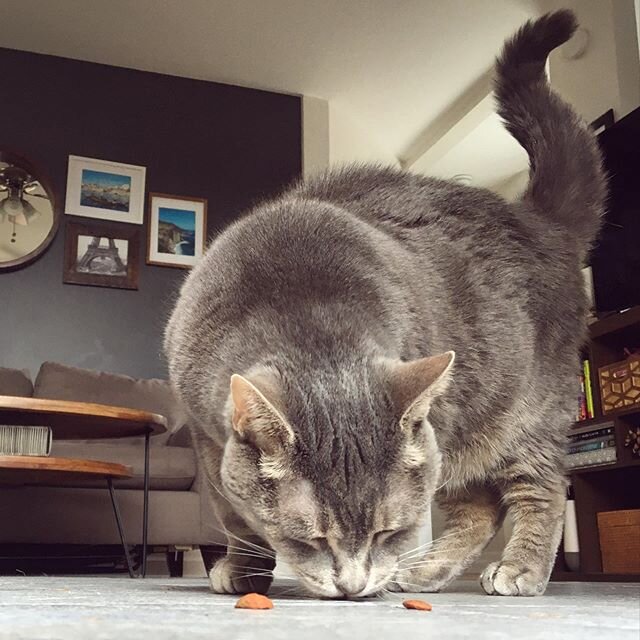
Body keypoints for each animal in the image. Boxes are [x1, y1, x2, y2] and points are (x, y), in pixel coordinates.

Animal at [165, 10, 604, 596]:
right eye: (311, 539)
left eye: (387, 532)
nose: (353, 587)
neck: (305, 310)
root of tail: (539, 221)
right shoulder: (205, 437)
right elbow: (236, 516)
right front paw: (243, 570)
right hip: (453, 433)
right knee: (479, 508)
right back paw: (425, 571)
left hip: (519, 417)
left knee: (543, 489)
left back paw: (519, 569)